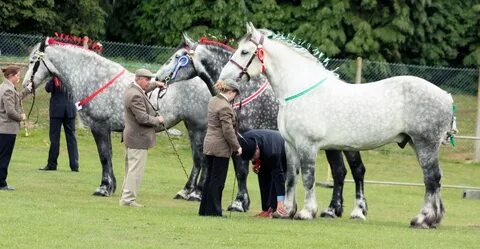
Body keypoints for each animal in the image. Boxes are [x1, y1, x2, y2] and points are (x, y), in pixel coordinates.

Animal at [22, 37, 210, 196]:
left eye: (33, 61)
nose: (25, 85)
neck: (94, 78)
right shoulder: (106, 129)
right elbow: (109, 156)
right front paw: (111, 186)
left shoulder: (99, 127)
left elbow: (104, 156)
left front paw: (103, 188)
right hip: (192, 128)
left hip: (198, 128)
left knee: (201, 159)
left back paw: (195, 192)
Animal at [156, 35, 370, 218]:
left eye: (178, 57)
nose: (157, 78)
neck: (244, 90)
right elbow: (238, 170)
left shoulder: (243, 135)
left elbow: (241, 170)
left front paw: (238, 203)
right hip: (332, 145)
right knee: (339, 172)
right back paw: (333, 209)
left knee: (356, 171)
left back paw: (356, 210)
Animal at [219, 22, 456, 229]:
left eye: (244, 52)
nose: (222, 80)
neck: (299, 90)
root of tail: (446, 96)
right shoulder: (290, 145)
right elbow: (290, 178)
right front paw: (286, 211)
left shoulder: (308, 145)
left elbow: (308, 177)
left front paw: (307, 212)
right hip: (418, 144)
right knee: (435, 181)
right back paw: (433, 219)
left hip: (425, 145)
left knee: (431, 179)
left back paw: (422, 219)